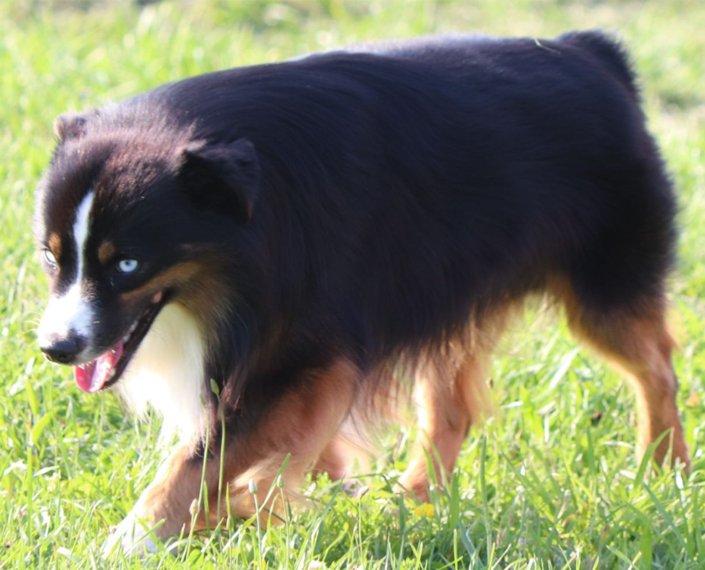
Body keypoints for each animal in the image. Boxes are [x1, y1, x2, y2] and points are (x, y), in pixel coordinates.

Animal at [34, 30, 688, 552]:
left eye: (128, 265)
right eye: (51, 257)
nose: (56, 348)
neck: (248, 225)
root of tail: (591, 52)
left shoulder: (304, 338)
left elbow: (202, 459)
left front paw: (130, 539)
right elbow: (284, 446)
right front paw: (299, 500)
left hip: (603, 275)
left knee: (655, 366)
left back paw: (666, 466)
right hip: (449, 281)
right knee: (451, 407)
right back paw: (414, 501)